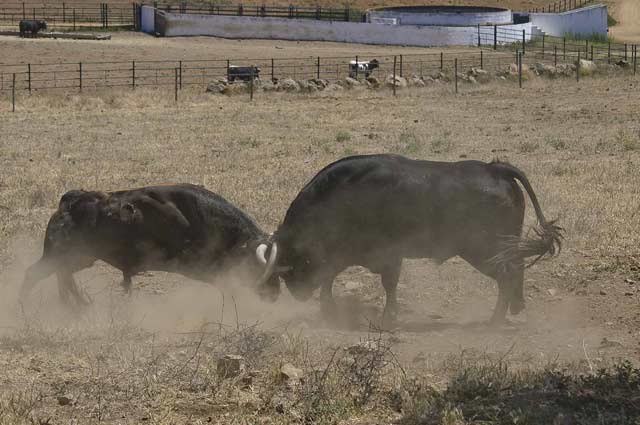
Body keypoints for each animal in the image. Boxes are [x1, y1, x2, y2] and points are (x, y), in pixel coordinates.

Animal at [23, 184, 278, 306]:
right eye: (259, 266)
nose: (275, 293)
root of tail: (69, 201)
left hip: (79, 258)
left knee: (63, 276)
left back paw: (77, 305)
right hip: (60, 255)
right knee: (34, 274)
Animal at [258, 154, 564, 322]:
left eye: (292, 263)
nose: (296, 293)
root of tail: (495, 169)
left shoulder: (388, 256)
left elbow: (388, 285)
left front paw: (387, 318)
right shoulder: (349, 254)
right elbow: (330, 279)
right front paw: (330, 312)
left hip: (484, 250)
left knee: (507, 275)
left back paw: (495, 319)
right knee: (517, 269)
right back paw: (515, 307)